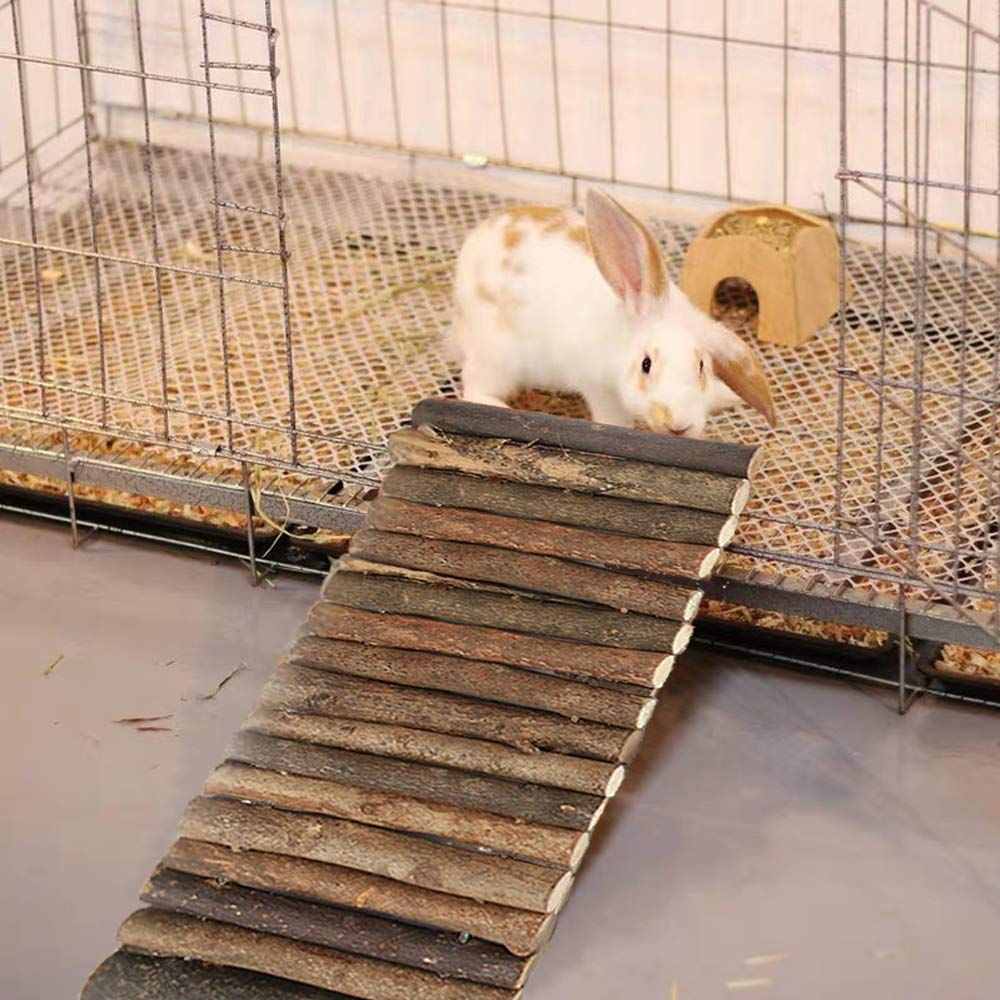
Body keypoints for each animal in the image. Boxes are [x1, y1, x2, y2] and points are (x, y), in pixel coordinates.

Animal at [447, 189, 776, 438]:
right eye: (646, 365)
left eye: (701, 367)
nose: (678, 425)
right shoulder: (597, 387)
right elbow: (613, 417)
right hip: (499, 358)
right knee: (475, 386)